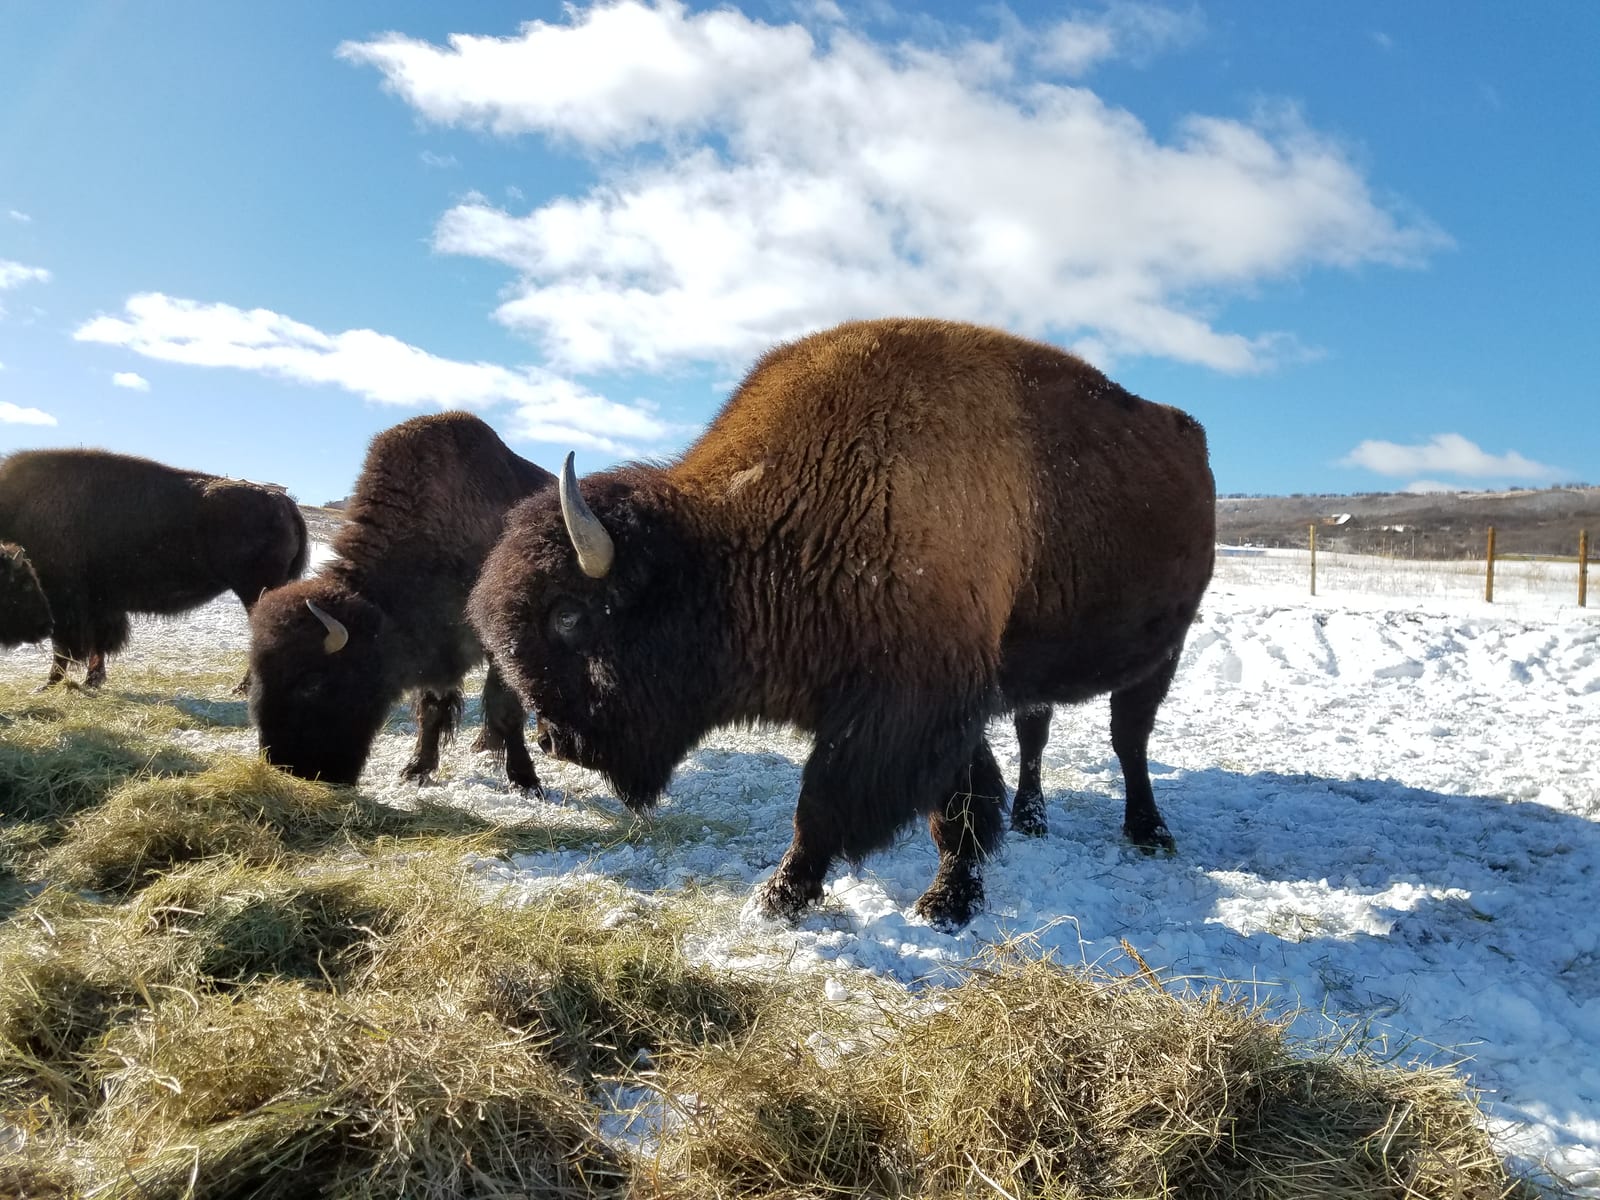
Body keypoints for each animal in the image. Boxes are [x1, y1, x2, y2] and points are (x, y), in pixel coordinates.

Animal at [0, 449, 308, 688]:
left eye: (27, 582)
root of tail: (284, 503)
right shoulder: (98, 604)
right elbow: (97, 644)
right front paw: (92, 680)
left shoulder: (67, 603)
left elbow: (64, 648)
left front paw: (50, 683)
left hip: (254, 590)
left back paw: (243, 687)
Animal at [248, 411, 555, 790]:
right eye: (258, 675)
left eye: (312, 683)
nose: (290, 768)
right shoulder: (438, 649)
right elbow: (432, 709)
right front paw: (417, 769)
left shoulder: (500, 645)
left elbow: (506, 709)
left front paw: (526, 780)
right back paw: (482, 743)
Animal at [469, 317, 1216, 927]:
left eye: (569, 615)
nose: (555, 739)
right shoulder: (939, 705)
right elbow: (963, 800)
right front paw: (949, 894)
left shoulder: (903, 708)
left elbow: (831, 804)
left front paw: (786, 897)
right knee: (1037, 733)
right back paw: (1034, 820)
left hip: (1164, 651)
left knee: (1130, 738)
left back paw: (1149, 832)